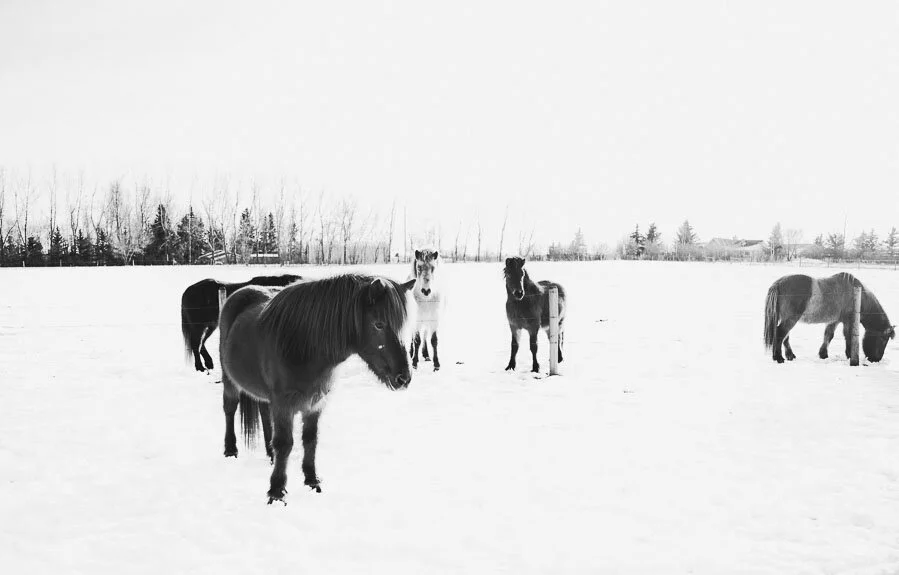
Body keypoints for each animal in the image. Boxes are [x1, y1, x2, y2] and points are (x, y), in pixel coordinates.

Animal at [219, 273, 416, 504]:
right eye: (378, 324)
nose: (404, 378)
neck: (303, 345)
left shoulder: (315, 403)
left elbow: (310, 440)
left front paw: (312, 480)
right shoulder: (283, 405)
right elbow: (284, 443)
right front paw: (276, 491)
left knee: (264, 412)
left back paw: (269, 453)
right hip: (229, 380)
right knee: (230, 408)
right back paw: (230, 450)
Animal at [764, 272, 895, 363]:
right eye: (883, 339)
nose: (876, 359)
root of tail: (778, 283)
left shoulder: (834, 321)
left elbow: (828, 335)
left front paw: (823, 354)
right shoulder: (848, 320)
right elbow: (848, 336)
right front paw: (849, 356)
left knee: (785, 336)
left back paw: (789, 355)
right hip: (791, 319)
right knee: (781, 333)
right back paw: (778, 357)